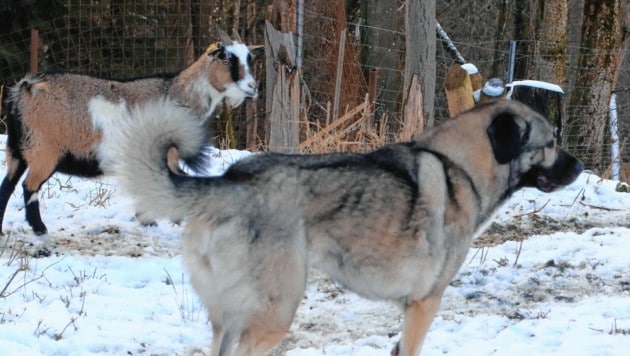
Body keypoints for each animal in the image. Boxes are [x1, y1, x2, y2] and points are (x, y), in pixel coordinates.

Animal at [0, 29, 262, 235]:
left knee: (7, 187)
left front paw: (148, 220)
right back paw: (40, 229)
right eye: (227, 58)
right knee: (29, 187)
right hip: (44, 150)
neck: (177, 93)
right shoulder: (167, 153)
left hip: (17, 149)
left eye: (250, 58)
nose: (253, 87)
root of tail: (26, 88)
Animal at [112, 99, 584, 356]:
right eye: (550, 142)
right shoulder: (425, 304)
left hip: (226, 321)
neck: (460, 169)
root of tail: (231, 182)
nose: (580, 167)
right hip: (274, 315)